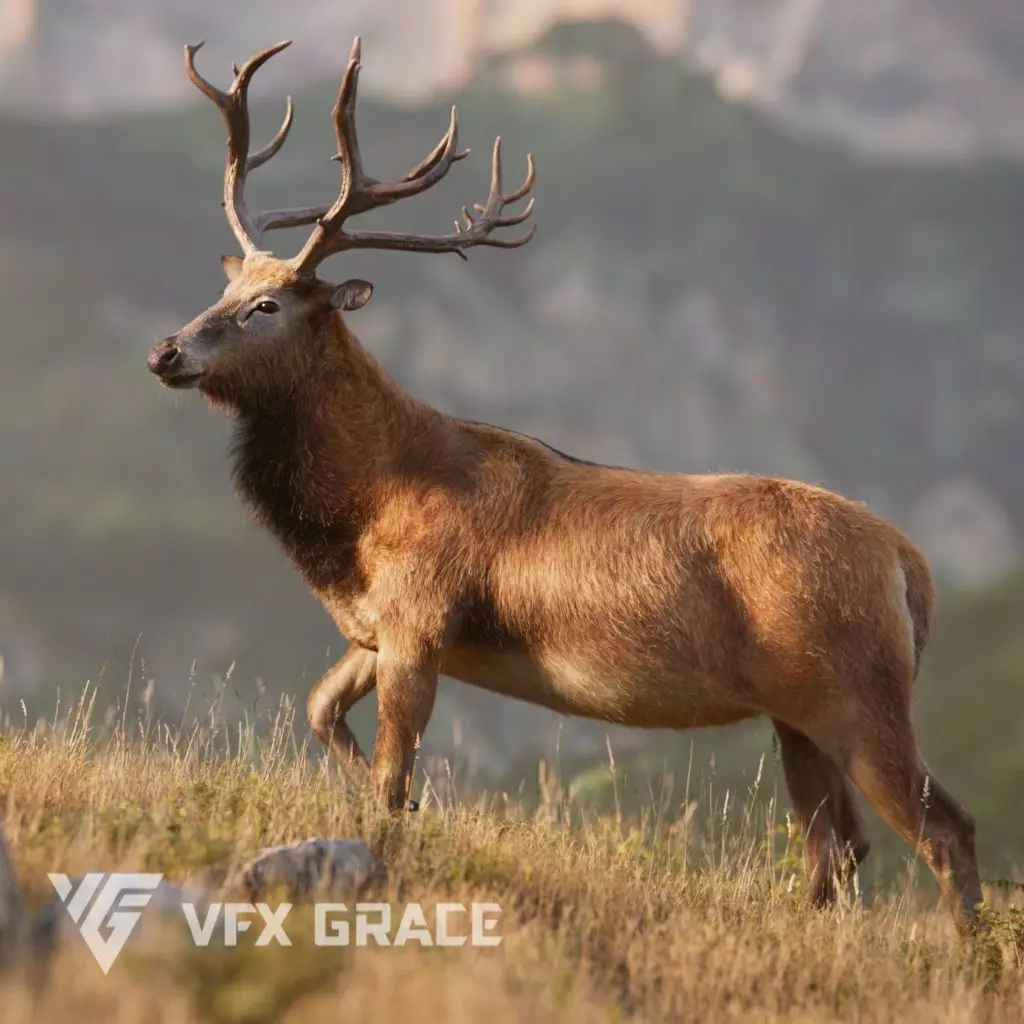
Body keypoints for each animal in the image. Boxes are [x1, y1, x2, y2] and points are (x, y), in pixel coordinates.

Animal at [147, 36, 983, 933]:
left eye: (266, 306)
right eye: (224, 288)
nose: (167, 350)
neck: (361, 518)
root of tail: (912, 569)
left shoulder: (420, 618)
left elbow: (391, 780)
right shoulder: (378, 629)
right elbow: (321, 711)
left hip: (859, 692)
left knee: (943, 828)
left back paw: (970, 951)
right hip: (800, 712)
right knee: (837, 846)